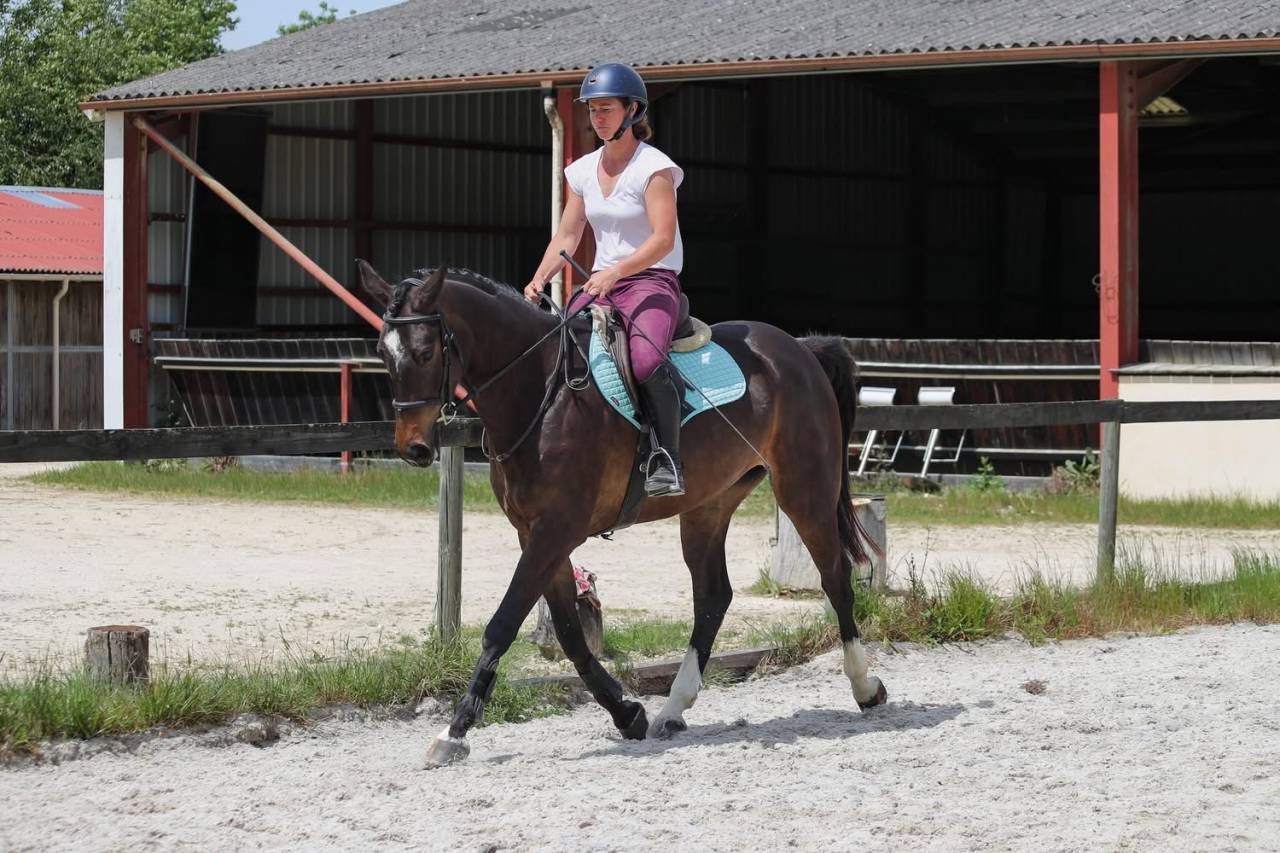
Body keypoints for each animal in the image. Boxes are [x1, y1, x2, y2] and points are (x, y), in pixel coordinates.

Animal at [356, 261, 888, 768]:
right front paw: (628, 714)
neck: (539, 392)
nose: (414, 449)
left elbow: (502, 626)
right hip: (709, 504)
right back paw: (672, 710)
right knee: (713, 596)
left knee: (835, 577)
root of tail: (799, 348)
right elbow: (571, 635)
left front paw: (454, 733)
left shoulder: (556, 531)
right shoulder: (538, 535)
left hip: (804, 490)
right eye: (383, 353)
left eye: (425, 353)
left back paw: (865, 687)